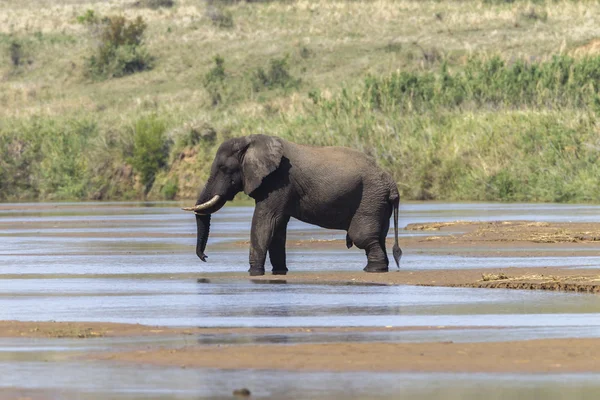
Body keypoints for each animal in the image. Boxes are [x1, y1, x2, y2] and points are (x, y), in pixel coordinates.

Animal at [180, 134, 400, 276]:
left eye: (224, 168)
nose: (205, 257)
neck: (252, 141)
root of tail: (392, 184)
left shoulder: (279, 180)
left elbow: (265, 222)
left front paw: (254, 272)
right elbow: (277, 228)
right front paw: (279, 272)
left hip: (369, 198)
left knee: (362, 237)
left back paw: (373, 270)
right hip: (378, 203)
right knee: (379, 237)